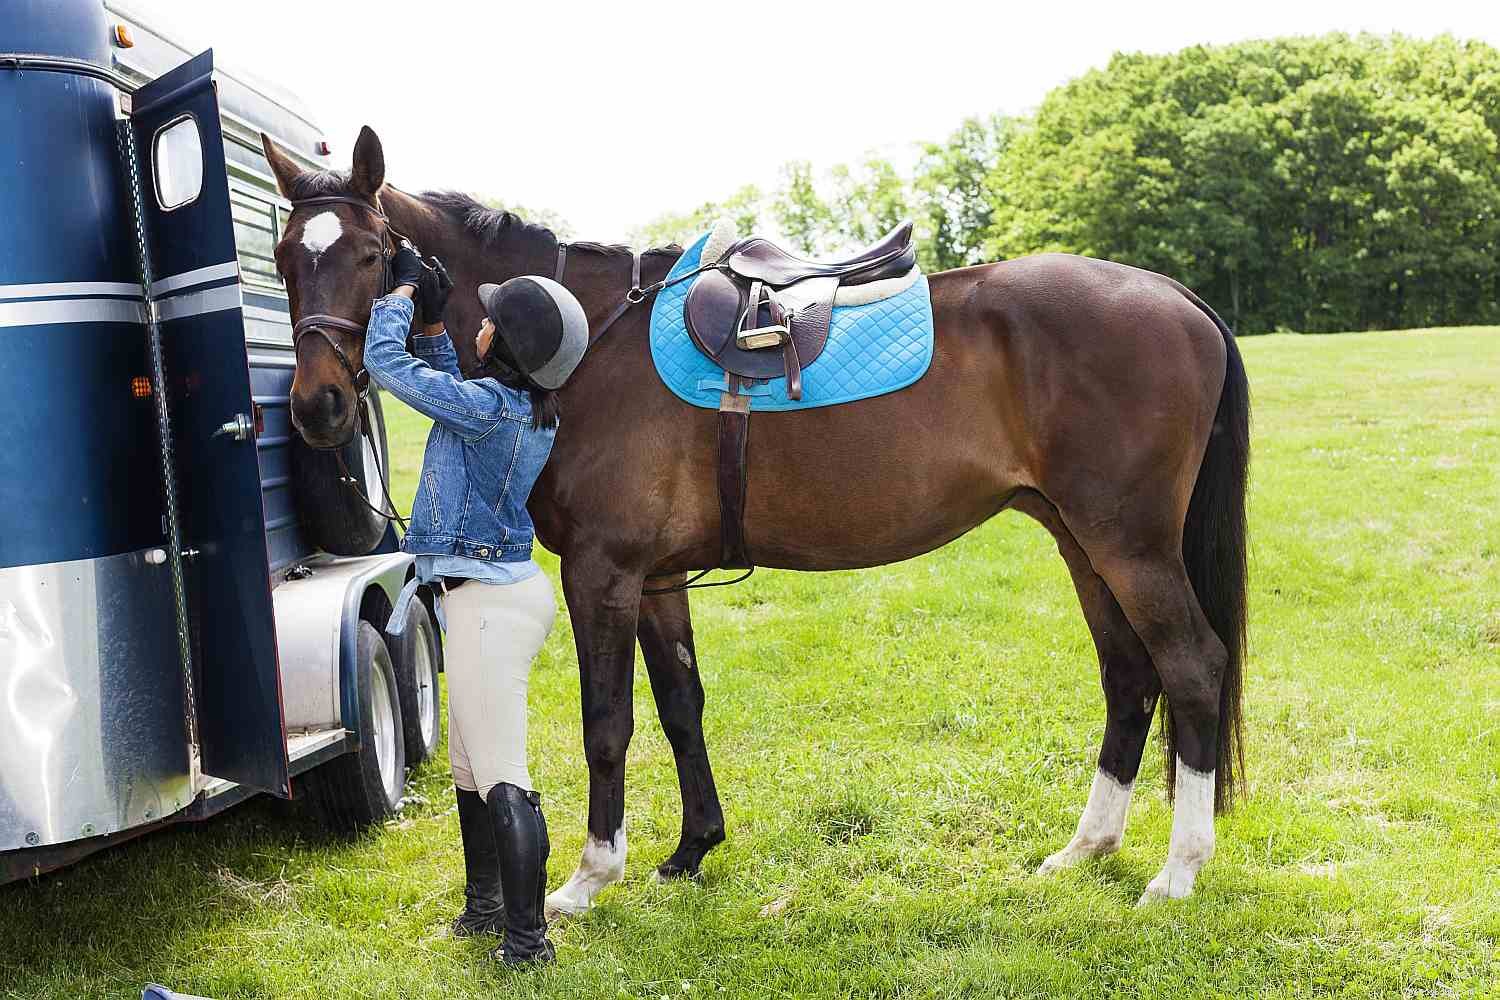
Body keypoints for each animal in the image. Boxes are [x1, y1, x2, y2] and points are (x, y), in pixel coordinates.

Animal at [262, 126, 1249, 913]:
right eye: (281, 258)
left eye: (369, 255)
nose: (315, 407)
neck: (586, 343)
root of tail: (1177, 296)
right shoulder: (656, 578)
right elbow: (681, 707)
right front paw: (691, 849)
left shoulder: (602, 573)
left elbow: (607, 723)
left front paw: (589, 876)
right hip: (1082, 540)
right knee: (1129, 675)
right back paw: (1086, 848)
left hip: (1129, 545)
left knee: (1192, 667)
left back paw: (1177, 871)